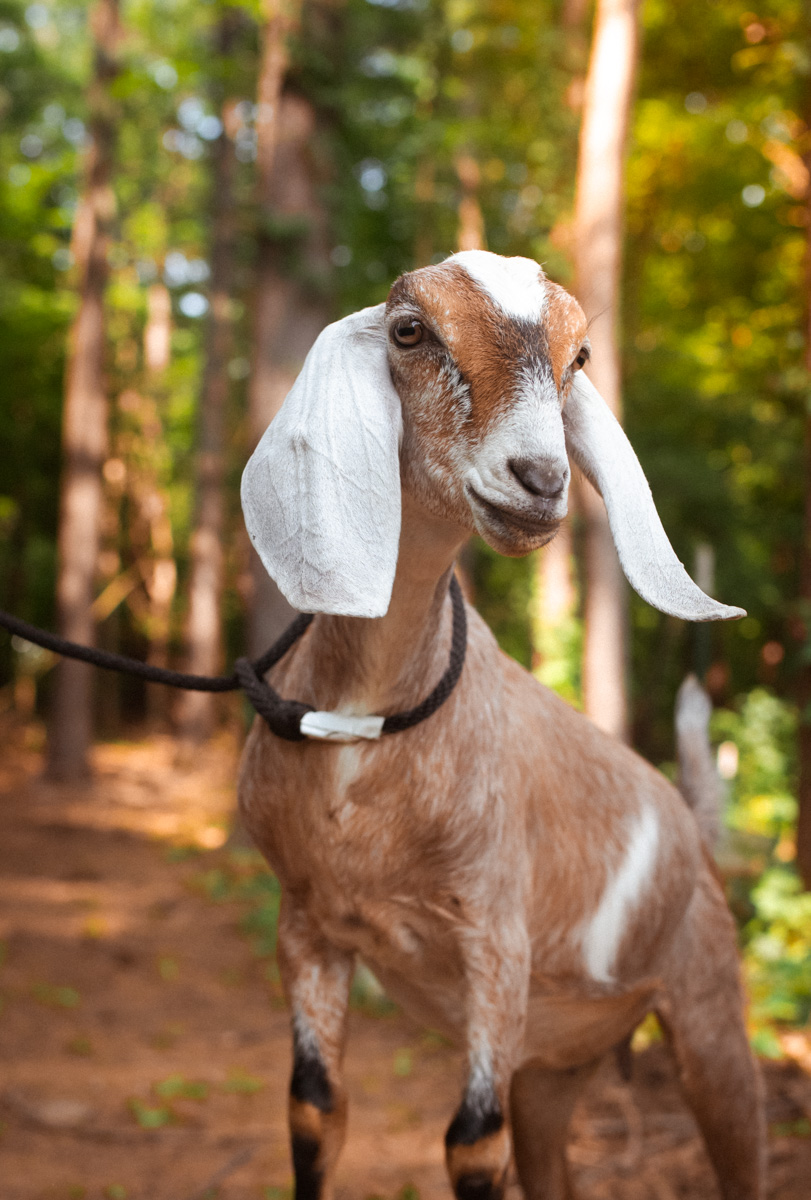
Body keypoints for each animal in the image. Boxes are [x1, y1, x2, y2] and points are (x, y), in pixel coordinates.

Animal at [239, 251, 765, 1200]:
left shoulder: (495, 938)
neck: (363, 728)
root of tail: (694, 831)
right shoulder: (307, 922)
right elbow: (313, 1111)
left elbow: (471, 1142)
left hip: (708, 1009)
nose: (541, 481)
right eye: (409, 330)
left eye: (580, 355)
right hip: (554, 1070)